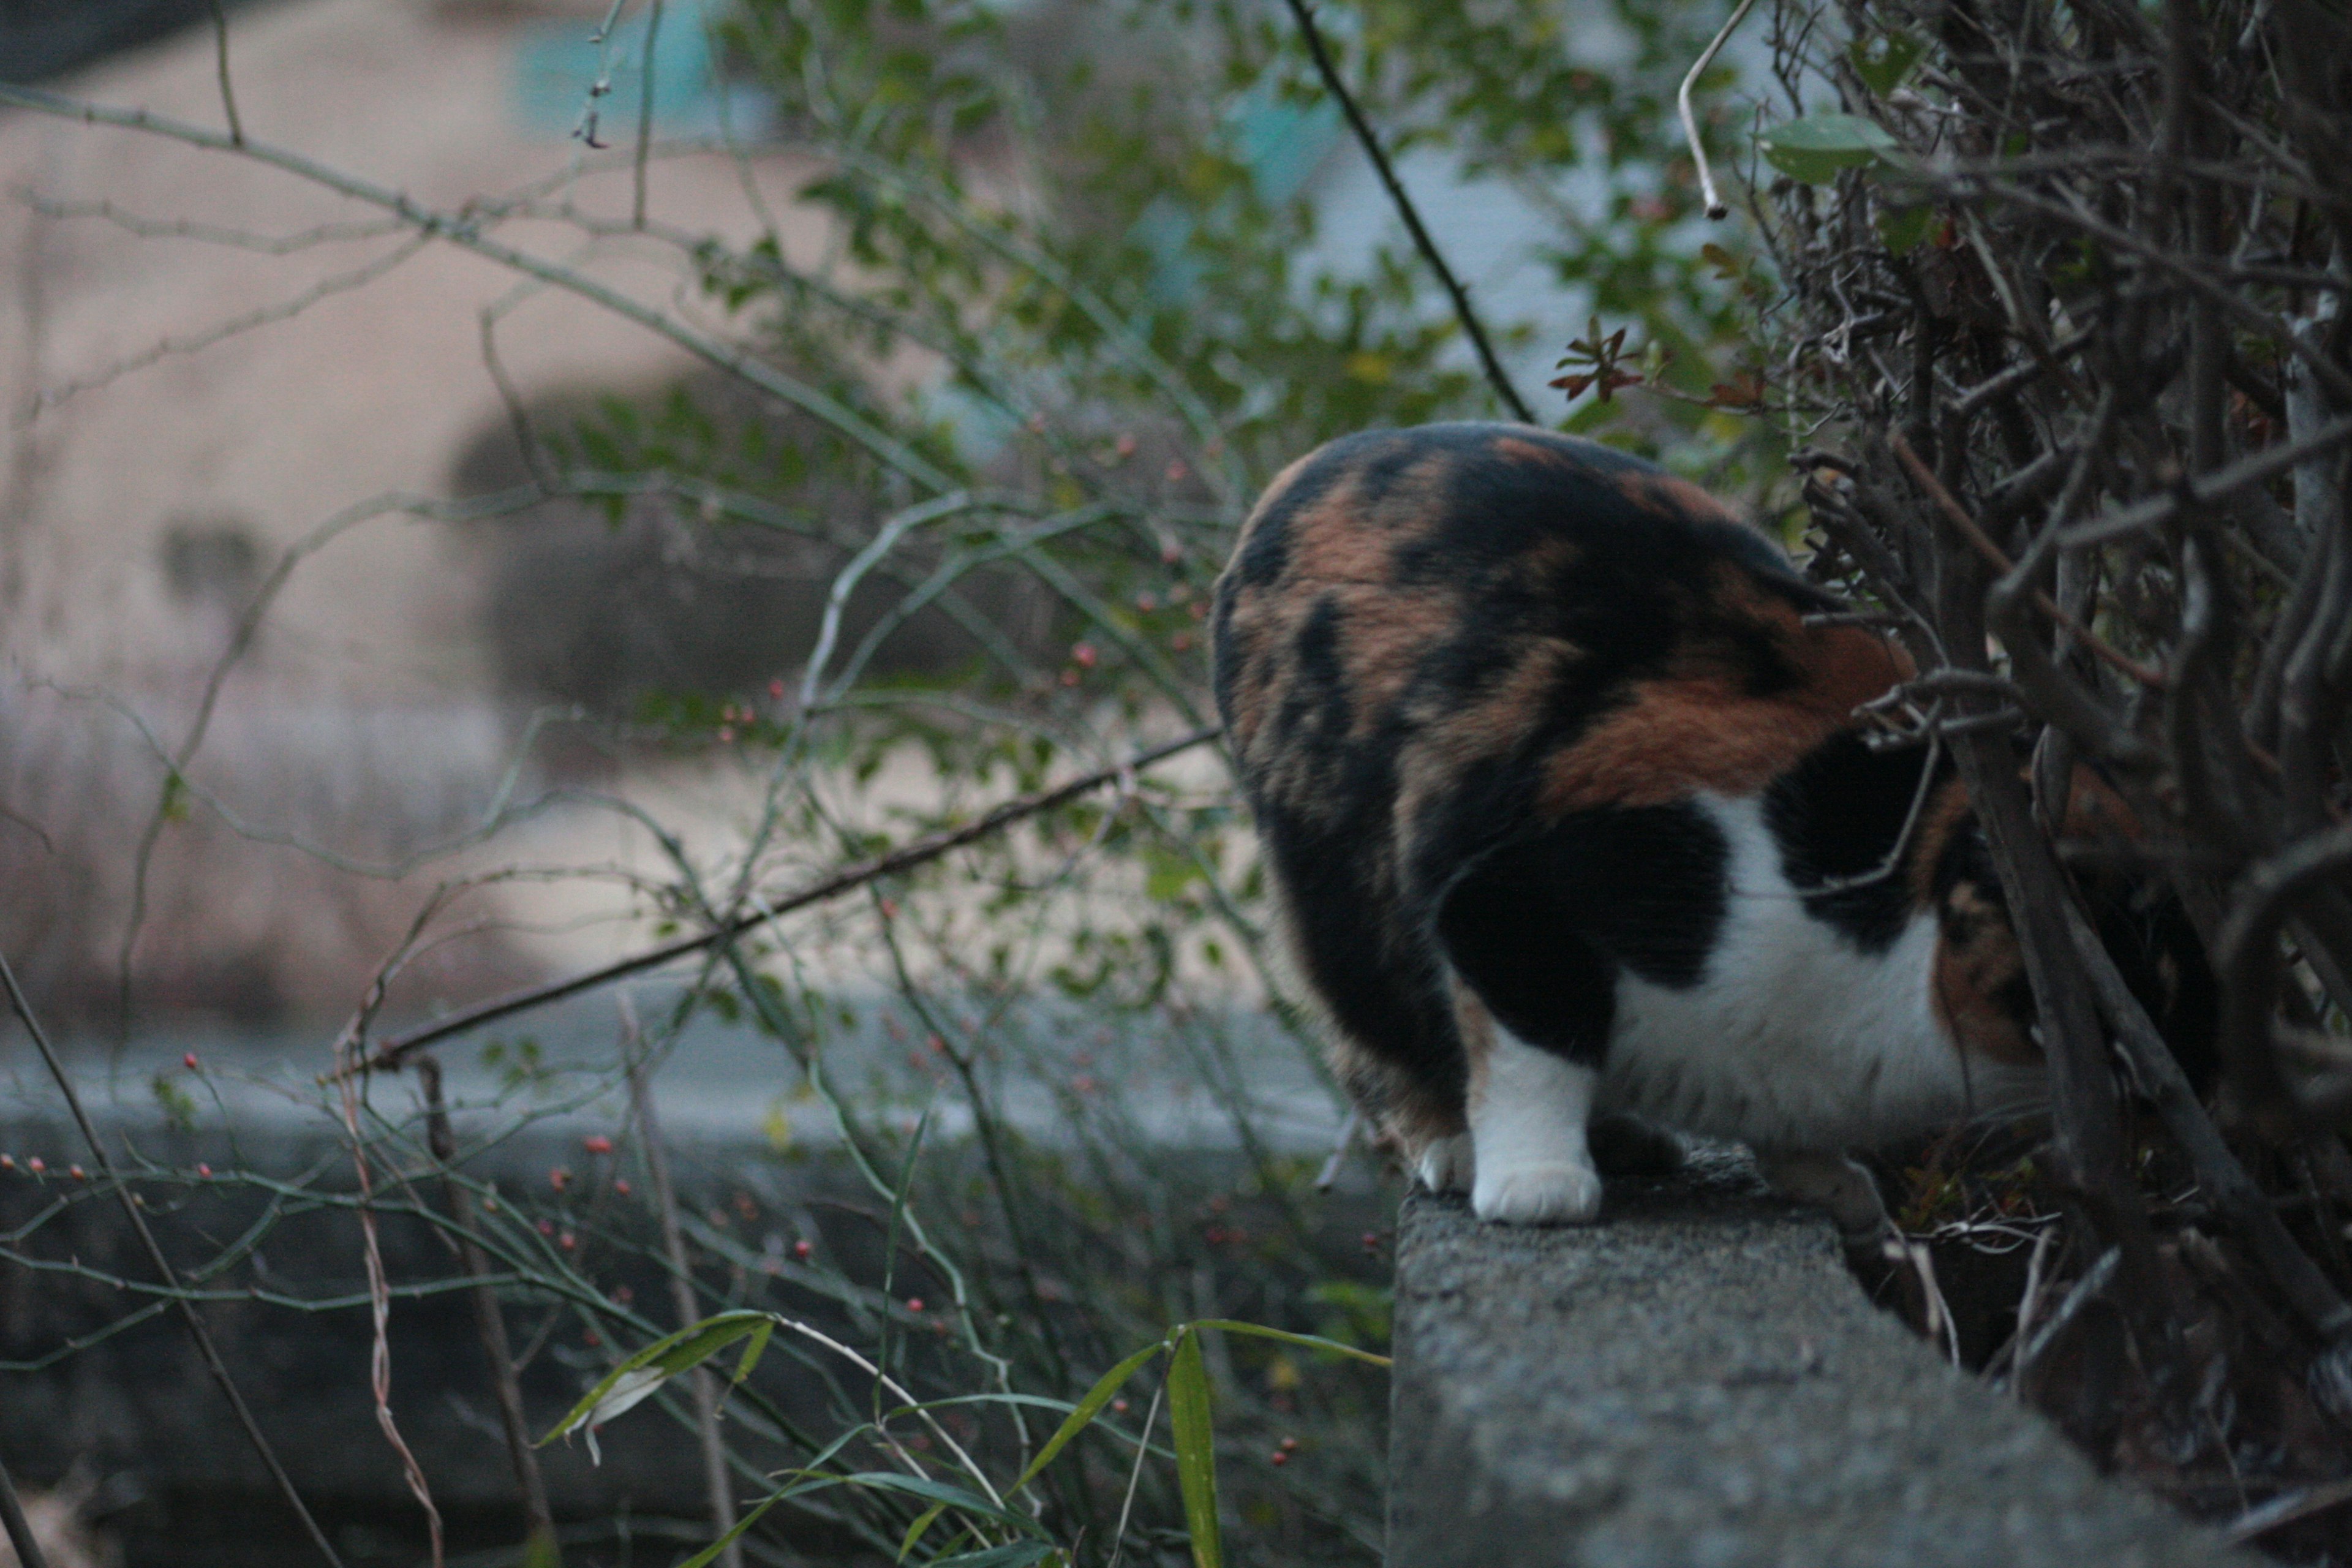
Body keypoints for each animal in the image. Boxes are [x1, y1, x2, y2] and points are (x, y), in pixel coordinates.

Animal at [1213, 423, 2201, 1232]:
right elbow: (1533, 1045)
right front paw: (1536, 1177)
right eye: (2134, 975)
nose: (2190, 1076)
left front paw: (1817, 1175)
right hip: (1344, 893)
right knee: (1381, 1028)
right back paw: (1459, 1140)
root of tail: (1302, 473)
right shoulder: (1519, 893)